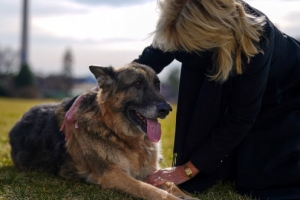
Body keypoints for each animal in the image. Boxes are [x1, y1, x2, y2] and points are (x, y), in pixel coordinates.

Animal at [8, 63, 197, 200]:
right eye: (137, 84)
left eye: (157, 85)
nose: (167, 109)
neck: (116, 132)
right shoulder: (113, 175)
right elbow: (152, 191)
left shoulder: (152, 172)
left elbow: (172, 185)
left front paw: (187, 196)